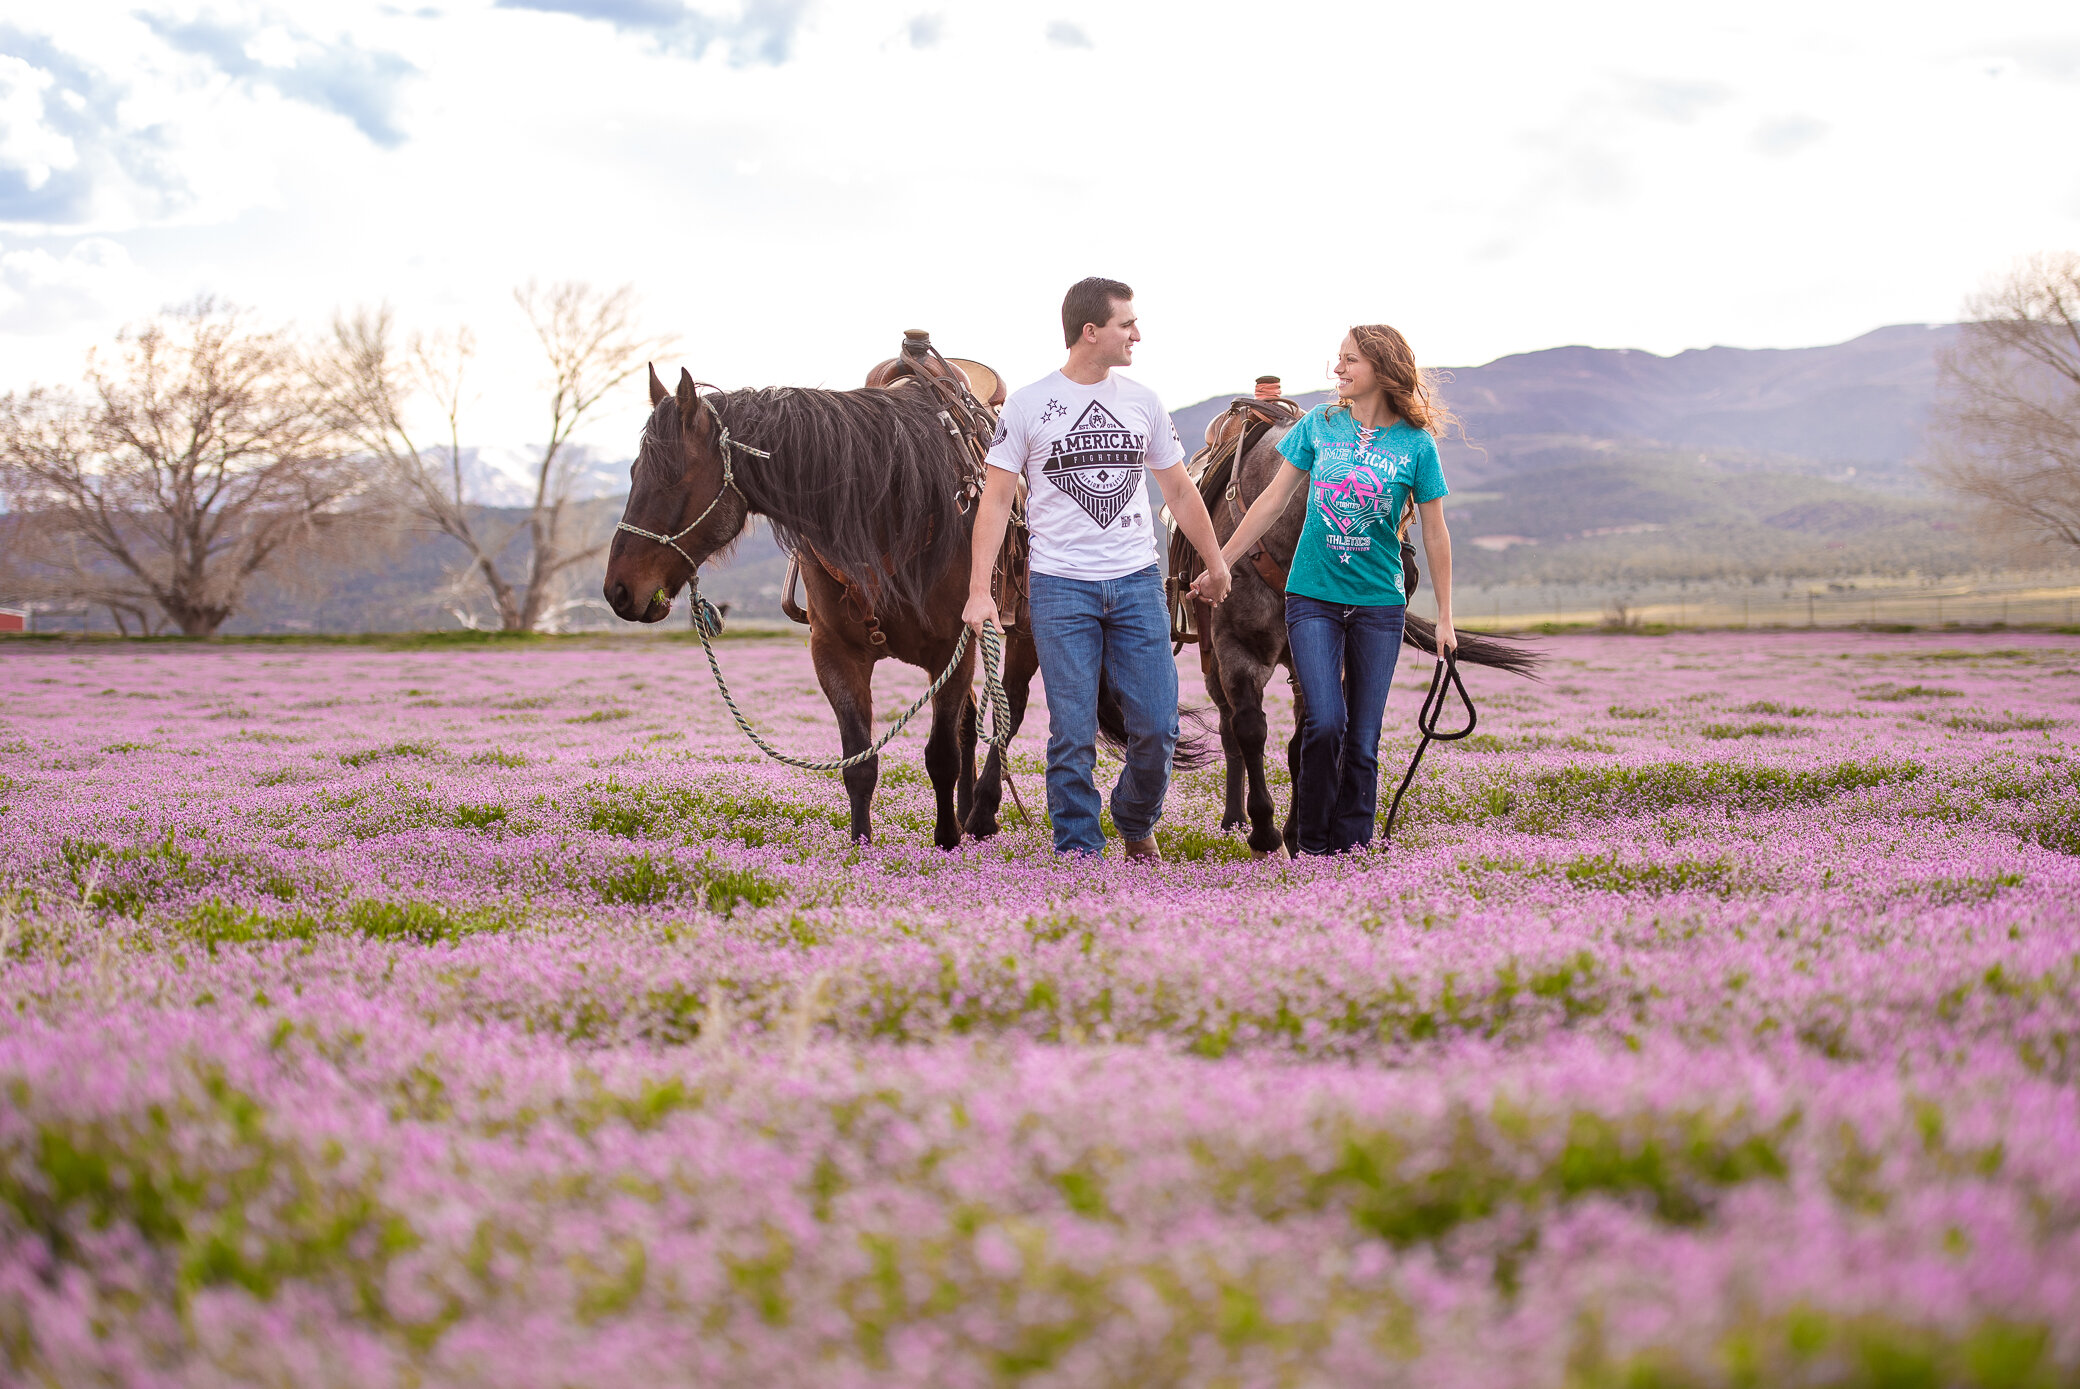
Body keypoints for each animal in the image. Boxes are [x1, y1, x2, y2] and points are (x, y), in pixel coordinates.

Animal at [603, 365, 1040, 848]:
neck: (890, 513)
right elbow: (860, 763)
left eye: (673, 478)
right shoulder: (835, 652)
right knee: (972, 721)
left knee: (1009, 711)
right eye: (633, 472)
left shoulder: (952, 648)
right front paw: (861, 848)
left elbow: (941, 757)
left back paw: (981, 813)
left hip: (1026, 632)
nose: (618, 589)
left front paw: (946, 843)